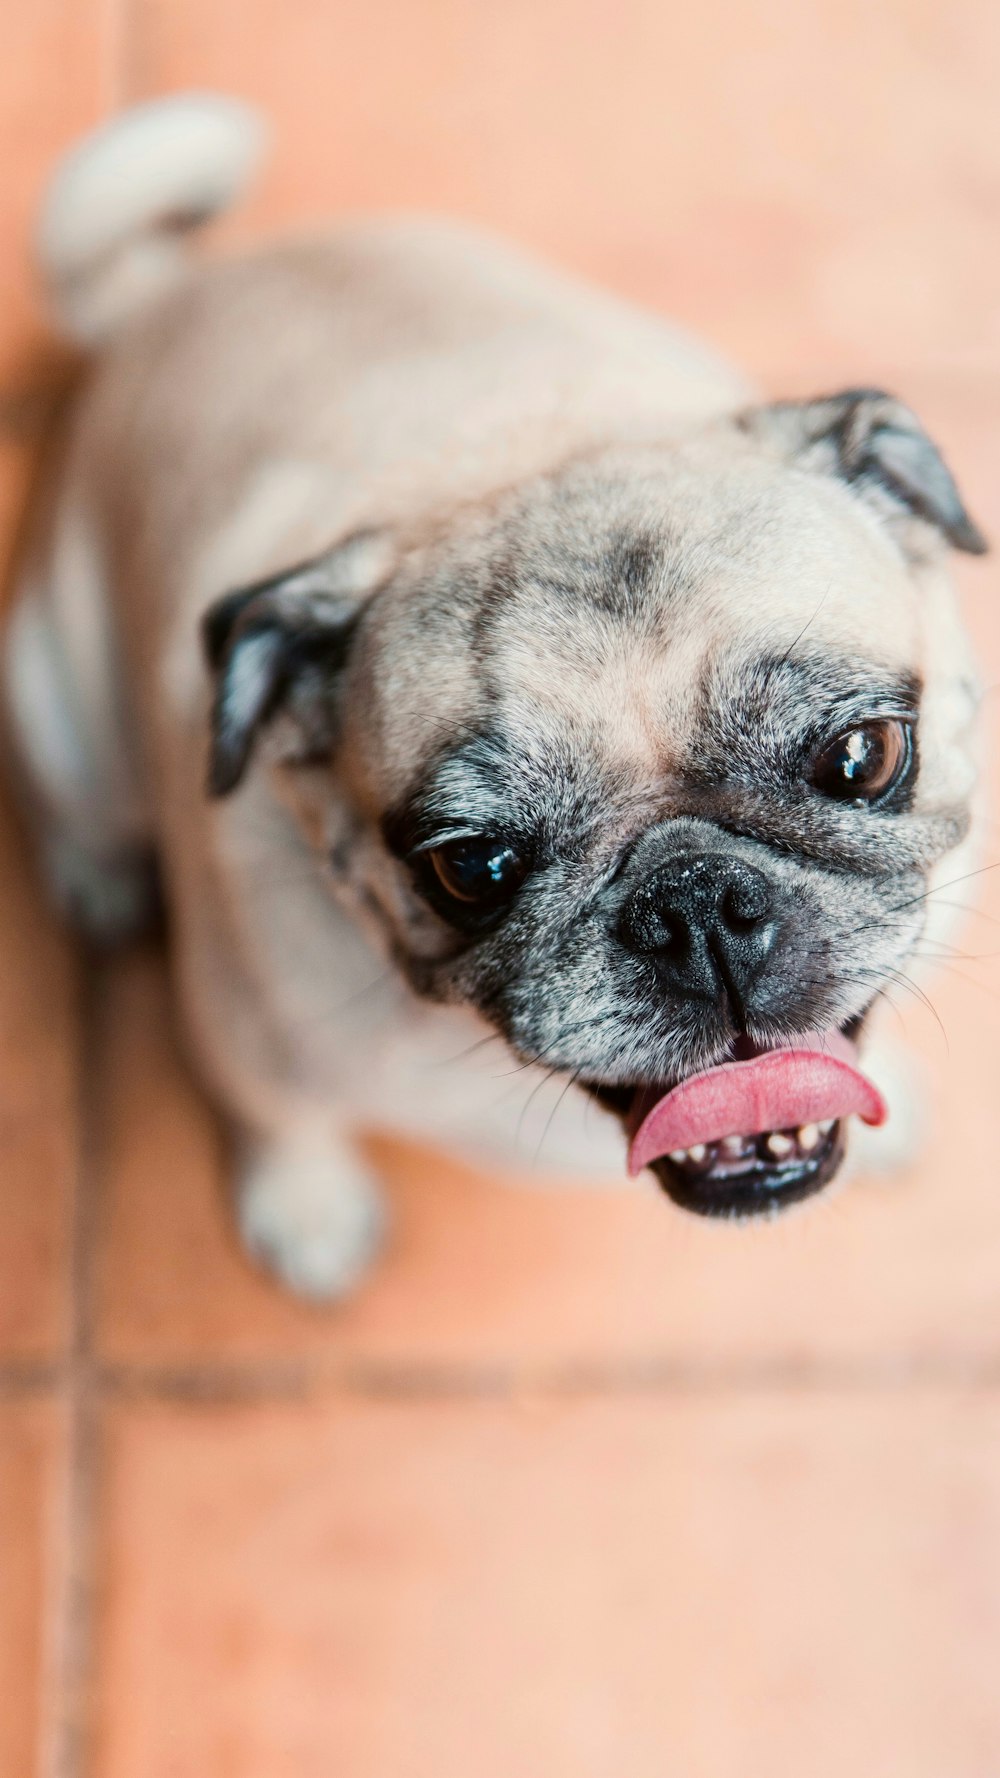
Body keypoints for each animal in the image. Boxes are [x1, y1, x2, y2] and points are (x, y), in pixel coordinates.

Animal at [1, 97, 982, 1294]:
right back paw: (99, 878)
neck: (517, 455)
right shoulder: (244, 1033)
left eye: (861, 757)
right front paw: (308, 1208)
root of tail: (158, 295)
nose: (695, 904)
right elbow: (283, 1118)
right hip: (55, 700)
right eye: (472, 869)